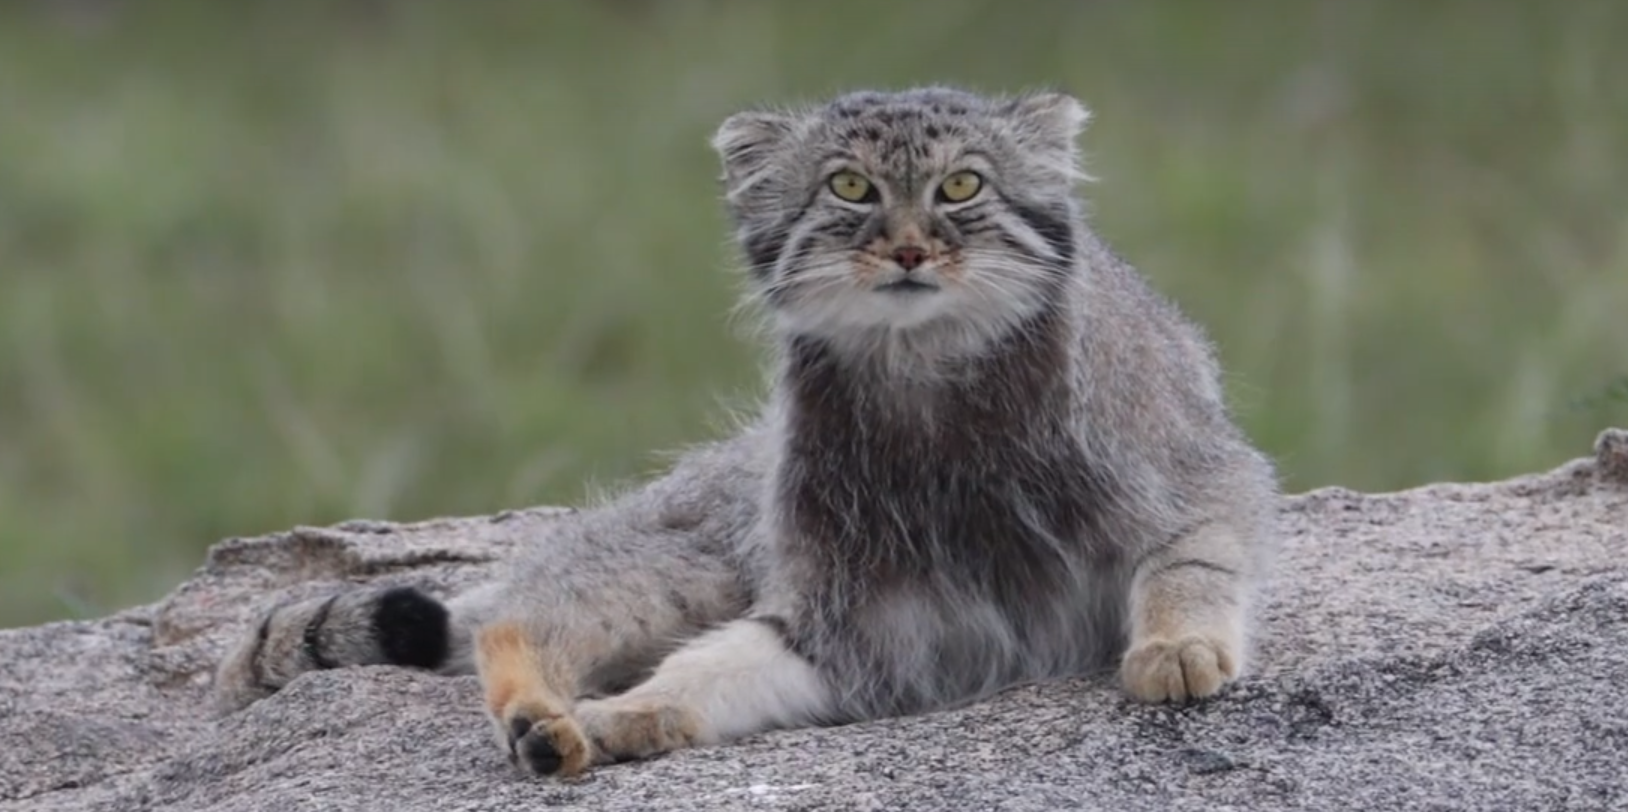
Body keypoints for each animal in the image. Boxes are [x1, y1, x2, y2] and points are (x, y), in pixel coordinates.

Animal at [216, 85, 1276, 777]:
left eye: (962, 187)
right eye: (849, 188)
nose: (908, 249)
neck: (930, 381)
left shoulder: (1200, 474)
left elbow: (1191, 560)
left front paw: (1178, 646)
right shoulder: (847, 615)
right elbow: (723, 662)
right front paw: (636, 708)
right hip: (668, 564)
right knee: (517, 617)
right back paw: (544, 717)